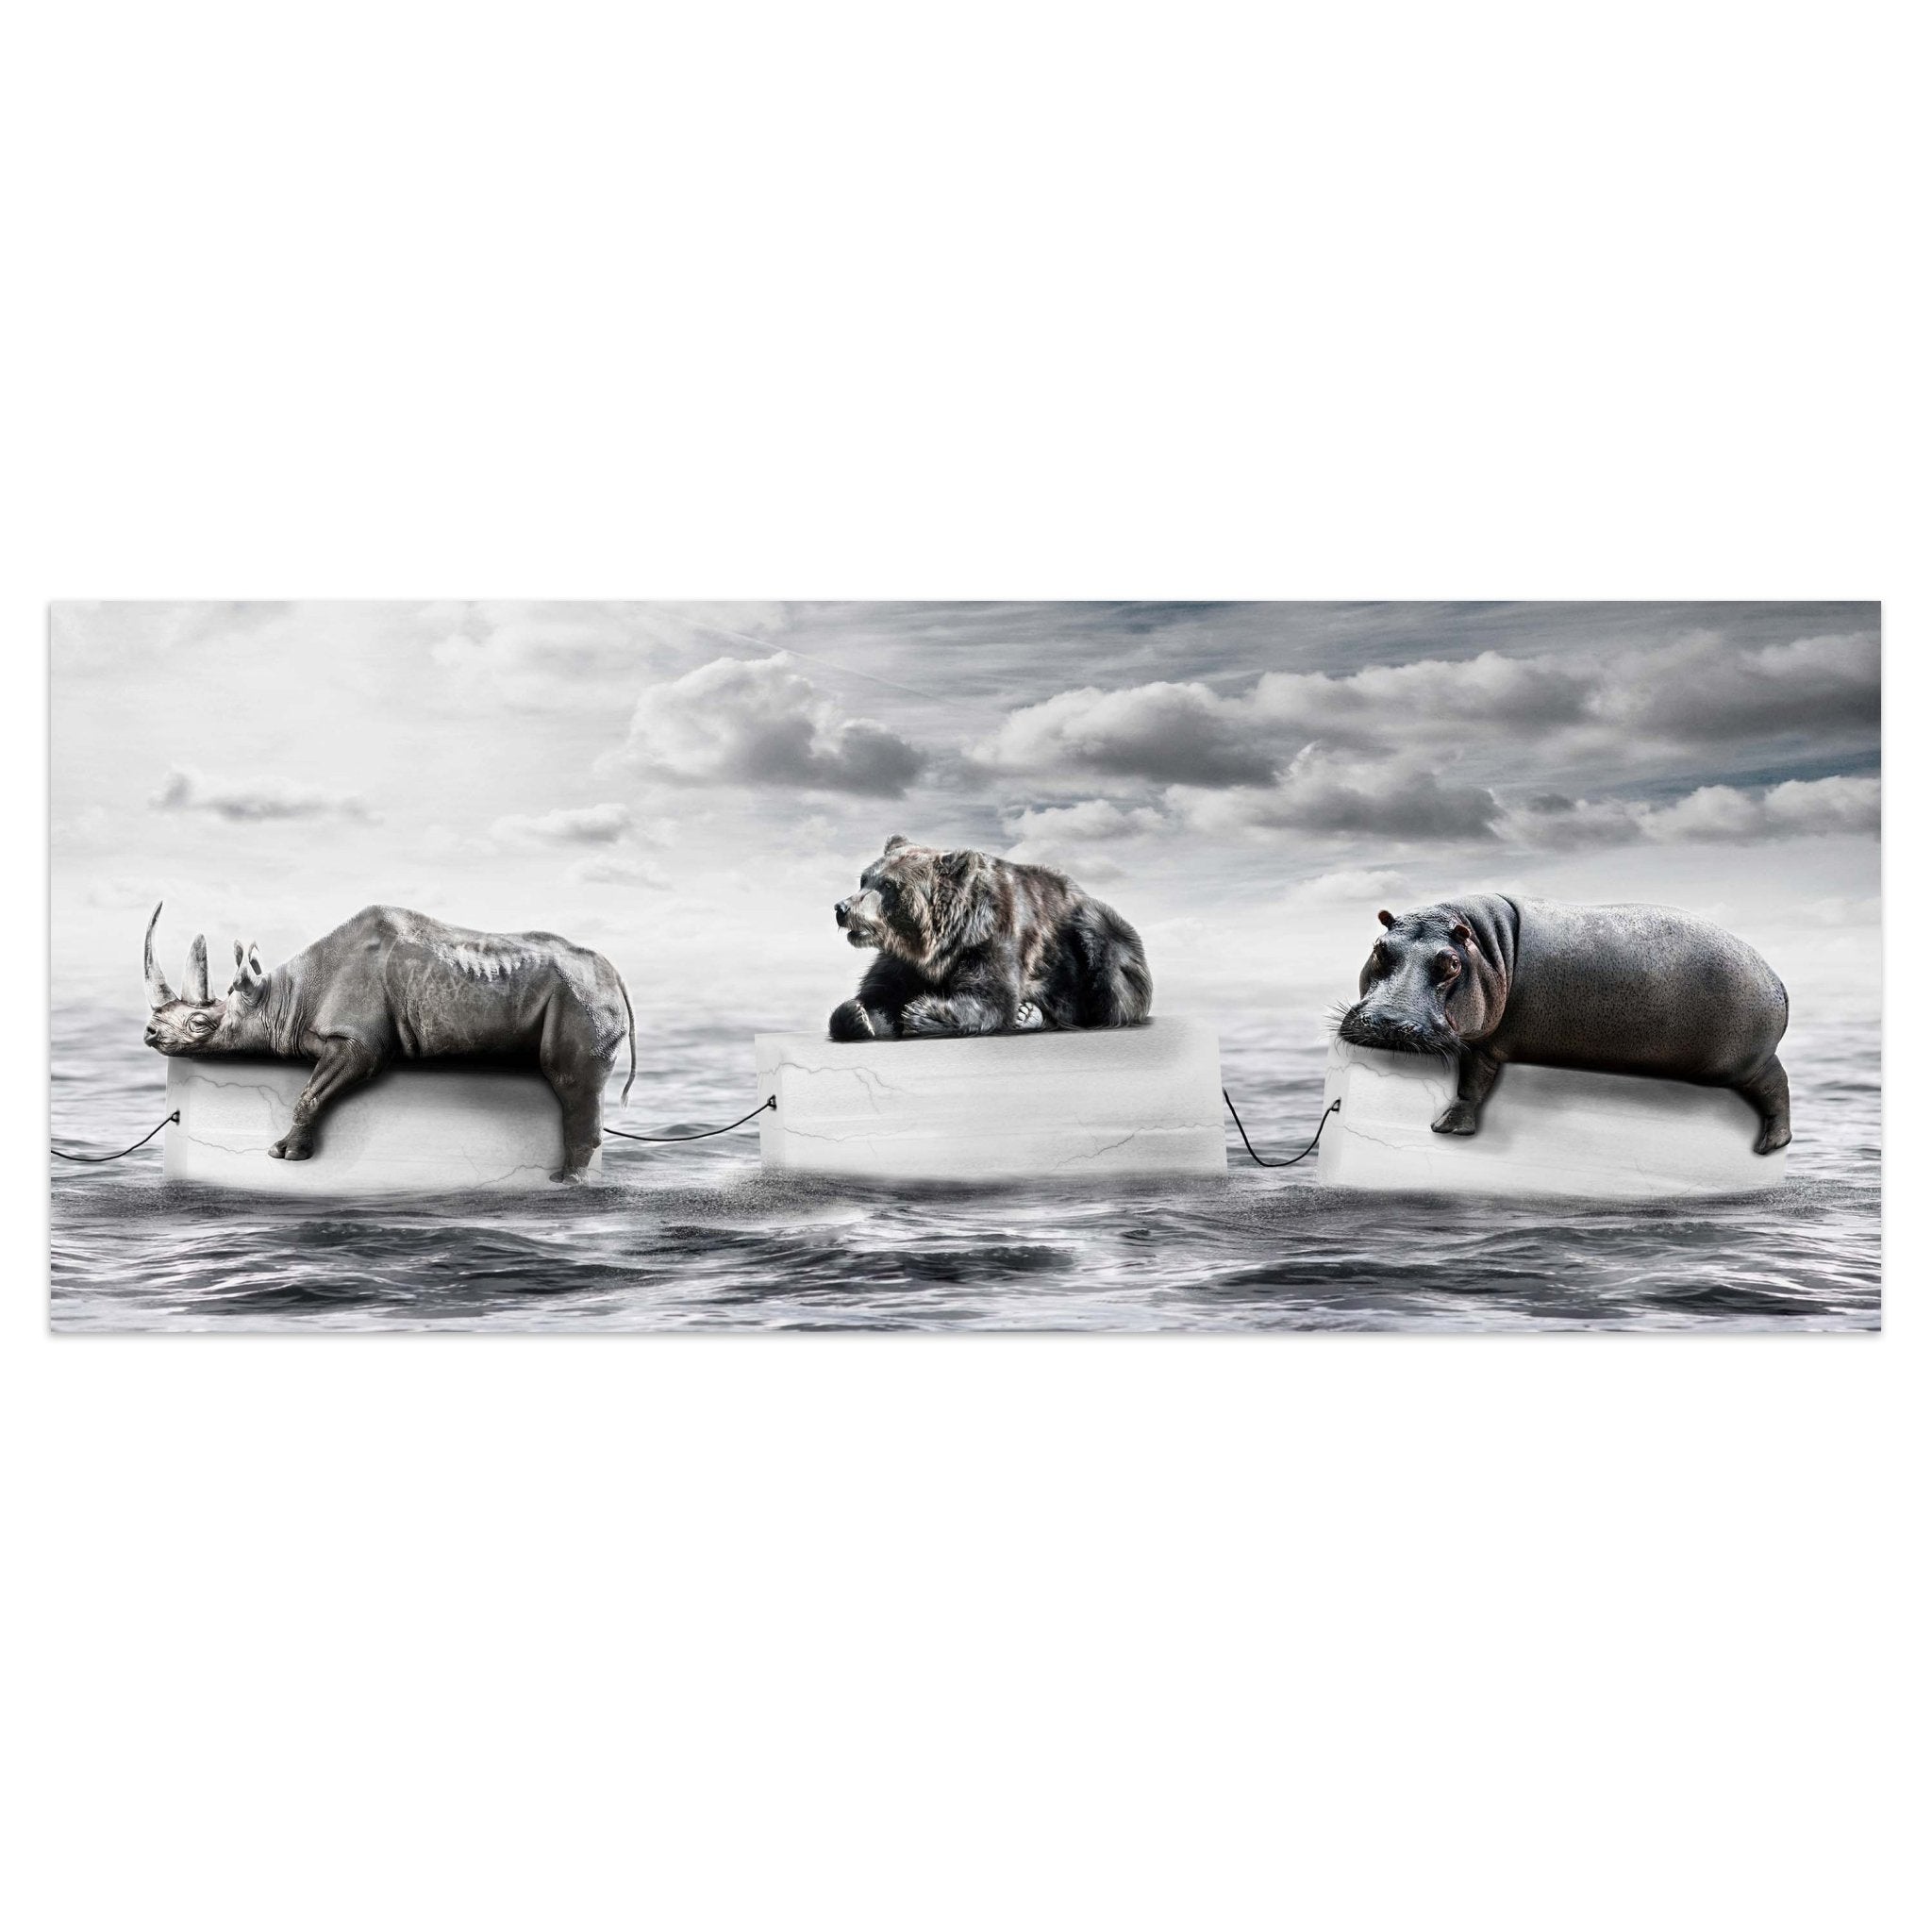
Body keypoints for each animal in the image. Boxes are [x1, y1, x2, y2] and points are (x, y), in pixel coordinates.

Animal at [828, 835, 1153, 1040]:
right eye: (864, 879)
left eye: (889, 885)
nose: (842, 908)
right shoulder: (904, 960)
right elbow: (880, 992)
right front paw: (857, 1015)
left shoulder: (993, 937)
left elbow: (990, 997)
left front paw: (922, 1012)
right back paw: (1029, 1014)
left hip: (1098, 931)